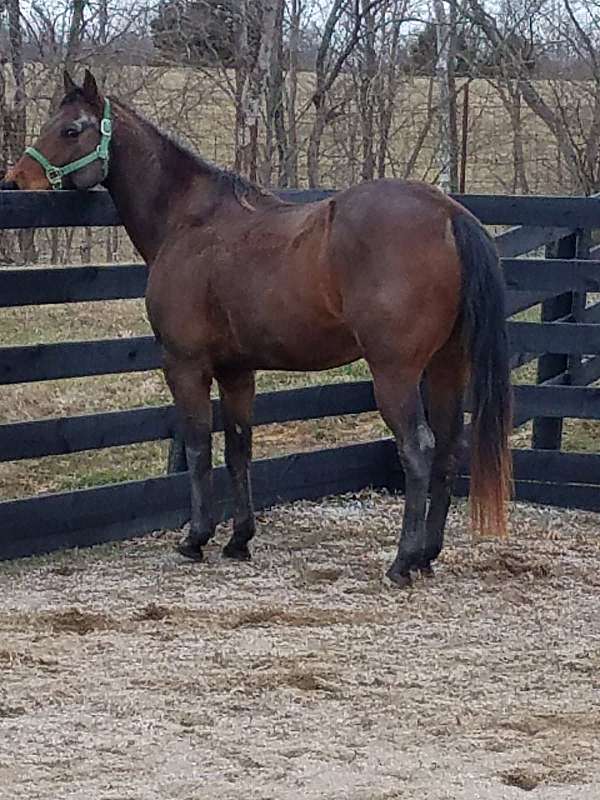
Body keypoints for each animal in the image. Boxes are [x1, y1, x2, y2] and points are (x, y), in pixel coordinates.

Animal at [1, 69, 512, 586]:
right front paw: (239, 539)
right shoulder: (236, 370)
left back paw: (403, 560)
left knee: (418, 449)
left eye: (71, 129)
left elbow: (199, 446)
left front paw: (196, 538)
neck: (188, 220)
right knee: (447, 446)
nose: (17, 179)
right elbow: (238, 447)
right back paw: (427, 554)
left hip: (395, 373)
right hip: (446, 365)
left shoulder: (185, 364)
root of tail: (448, 213)